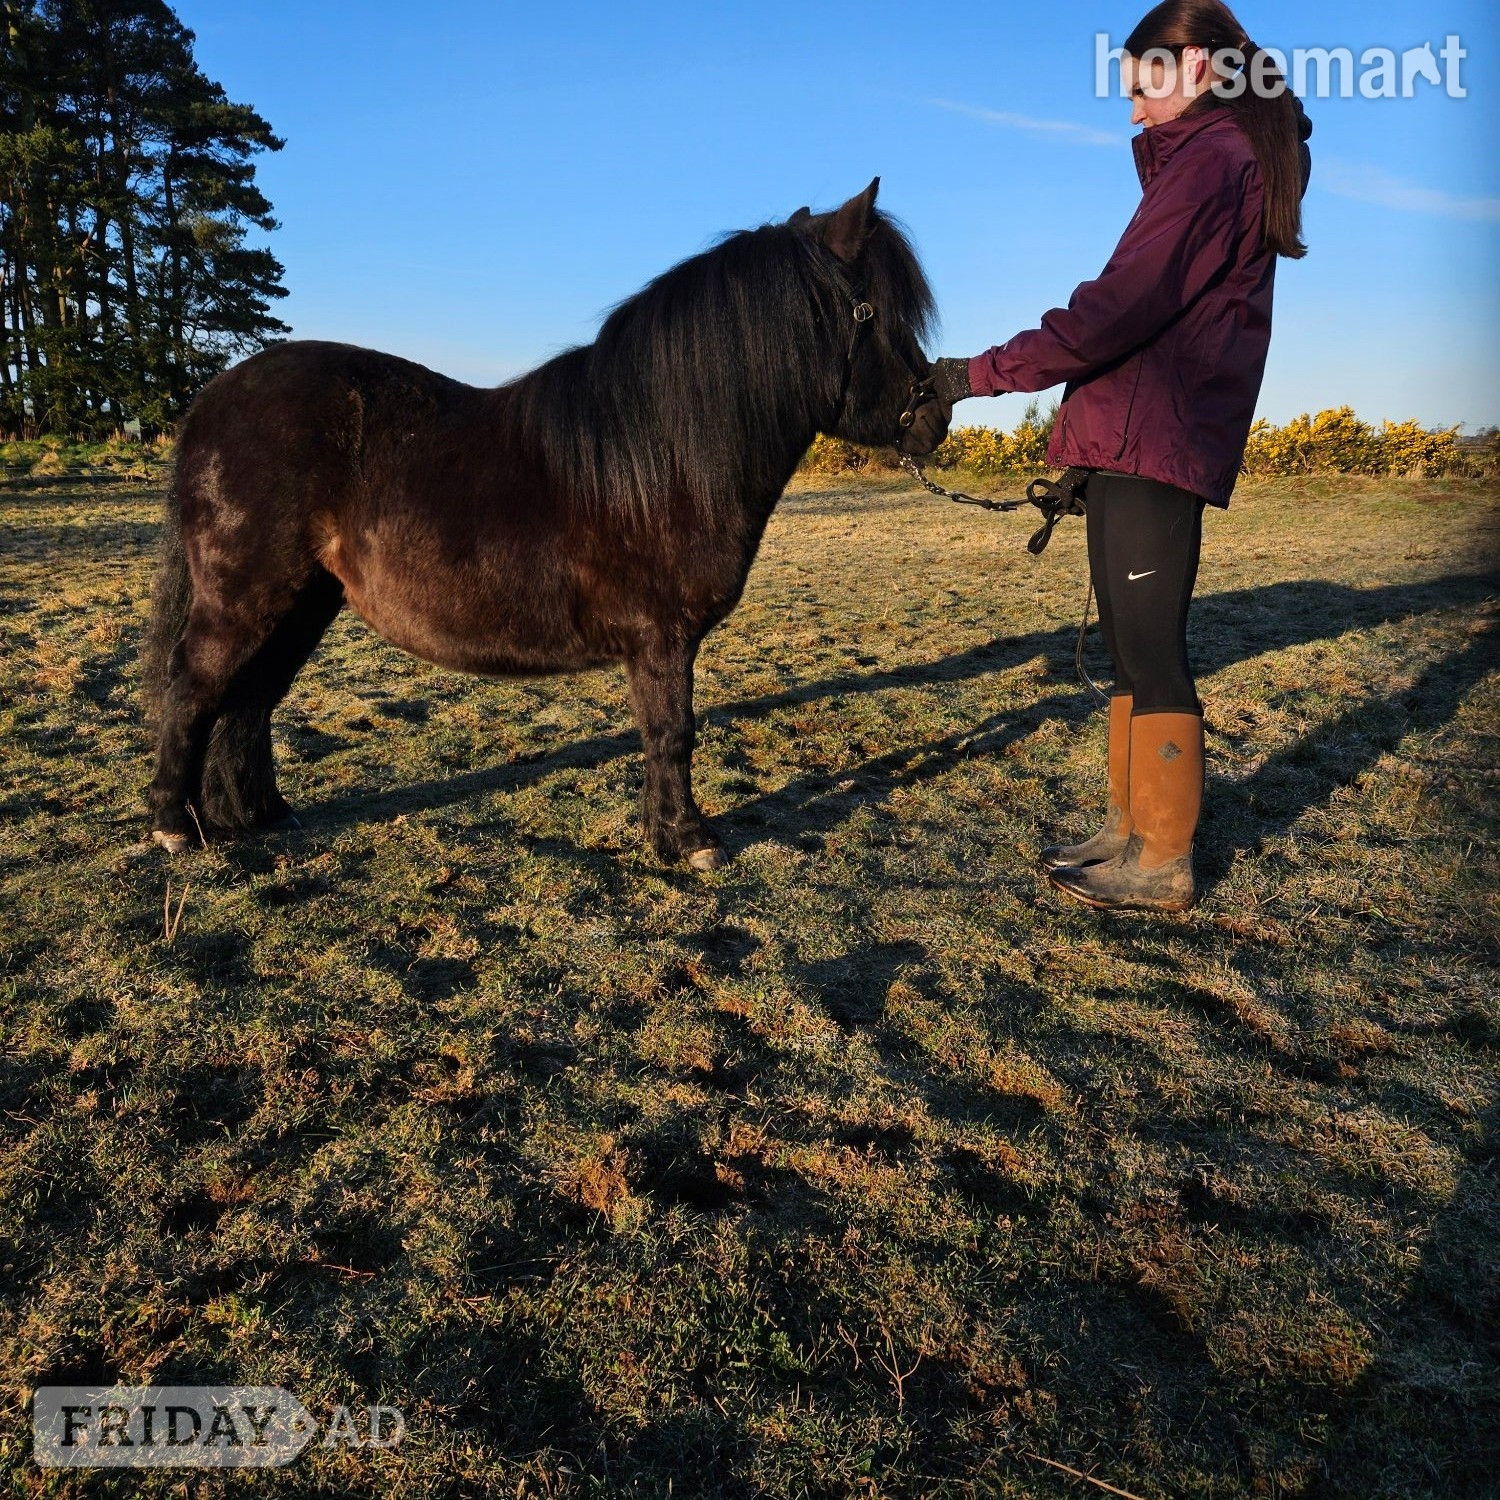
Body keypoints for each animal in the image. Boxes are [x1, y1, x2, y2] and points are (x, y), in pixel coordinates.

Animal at [142, 179, 948, 871]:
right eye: (876, 313)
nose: (935, 417)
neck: (666, 459)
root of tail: (210, 401)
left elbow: (659, 733)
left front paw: (662, 832)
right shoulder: (662, 637)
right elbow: (673, 730)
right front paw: (691, 840)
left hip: (303, 603)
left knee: (249, 700)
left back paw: (259, 817)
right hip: (246, 599)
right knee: (194, 690)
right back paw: (176, 827)